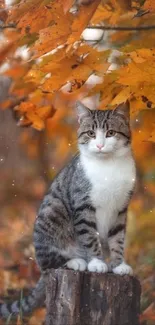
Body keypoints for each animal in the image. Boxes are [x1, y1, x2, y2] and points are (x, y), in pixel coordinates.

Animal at [0, 100, 136, 316]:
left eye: (111, 133)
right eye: (91, 133)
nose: (100, 145)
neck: (109, 167)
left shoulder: (121, 208)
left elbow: (118, 239)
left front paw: (118, 264)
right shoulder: (83, 205)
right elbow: (89, 236)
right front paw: (97, 262)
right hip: (51, 213)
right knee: (48, 264)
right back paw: (76, 261)